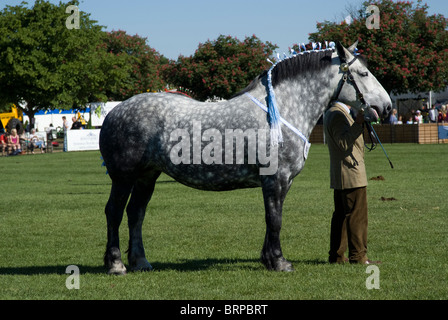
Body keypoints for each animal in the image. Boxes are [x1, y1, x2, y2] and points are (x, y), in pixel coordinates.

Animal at [100, 41, 390, 274]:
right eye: (363, 73)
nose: (386, 107)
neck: (282, 110)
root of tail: (114, 112)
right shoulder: (276, 179)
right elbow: (275, 219)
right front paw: (279, 262)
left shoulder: (281, 182)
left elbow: (273, 217)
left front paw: (268, 259)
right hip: (123, 178)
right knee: (114, 212)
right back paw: (116, 265)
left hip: (146, 177)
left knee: (135, 213)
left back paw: (140, 262)